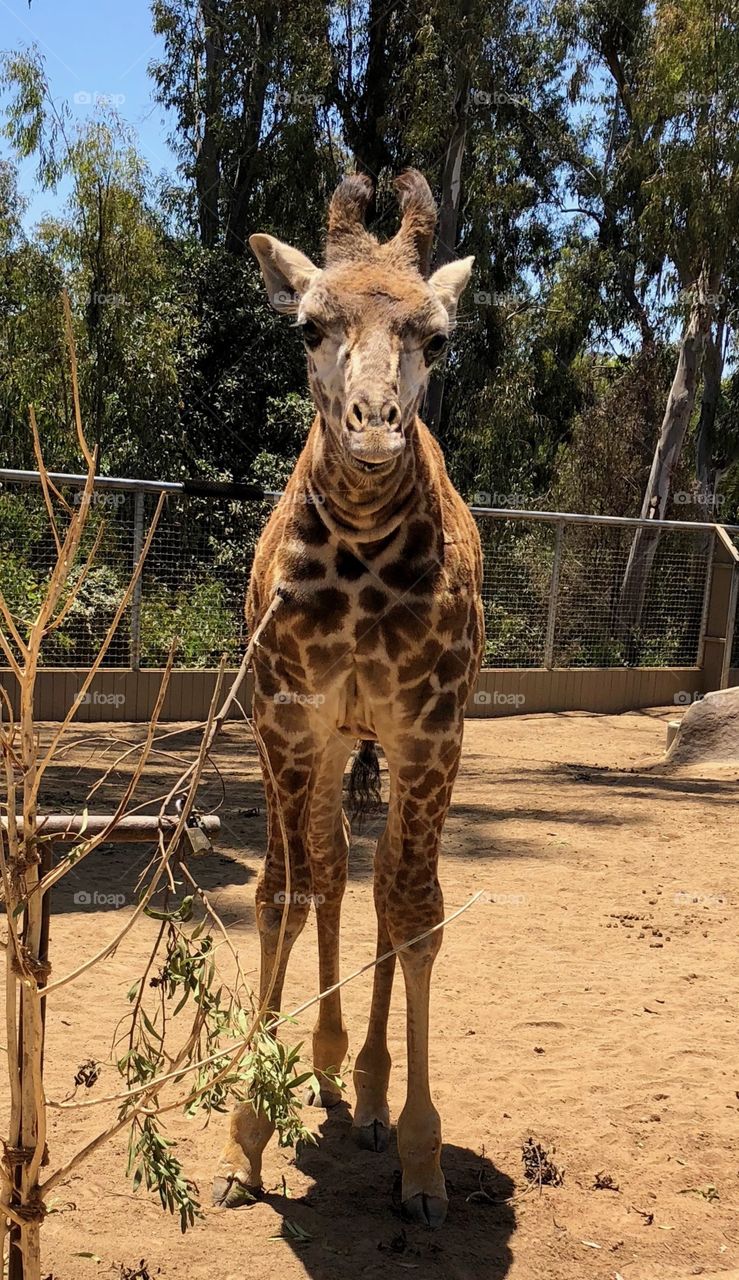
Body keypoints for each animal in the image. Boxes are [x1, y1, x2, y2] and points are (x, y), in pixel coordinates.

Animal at [212, 170, 484, 1228]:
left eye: (436, 337)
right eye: (307, 326)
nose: (373, 425)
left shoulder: (431, 729)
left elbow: (416, 911)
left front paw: (422, 1163)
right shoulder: (287, 721)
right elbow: (282, 893)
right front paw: (245, 1137)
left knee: (378, 891)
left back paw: (366, 1096)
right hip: (327, 744)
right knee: (330, 874)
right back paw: (326, 1069)